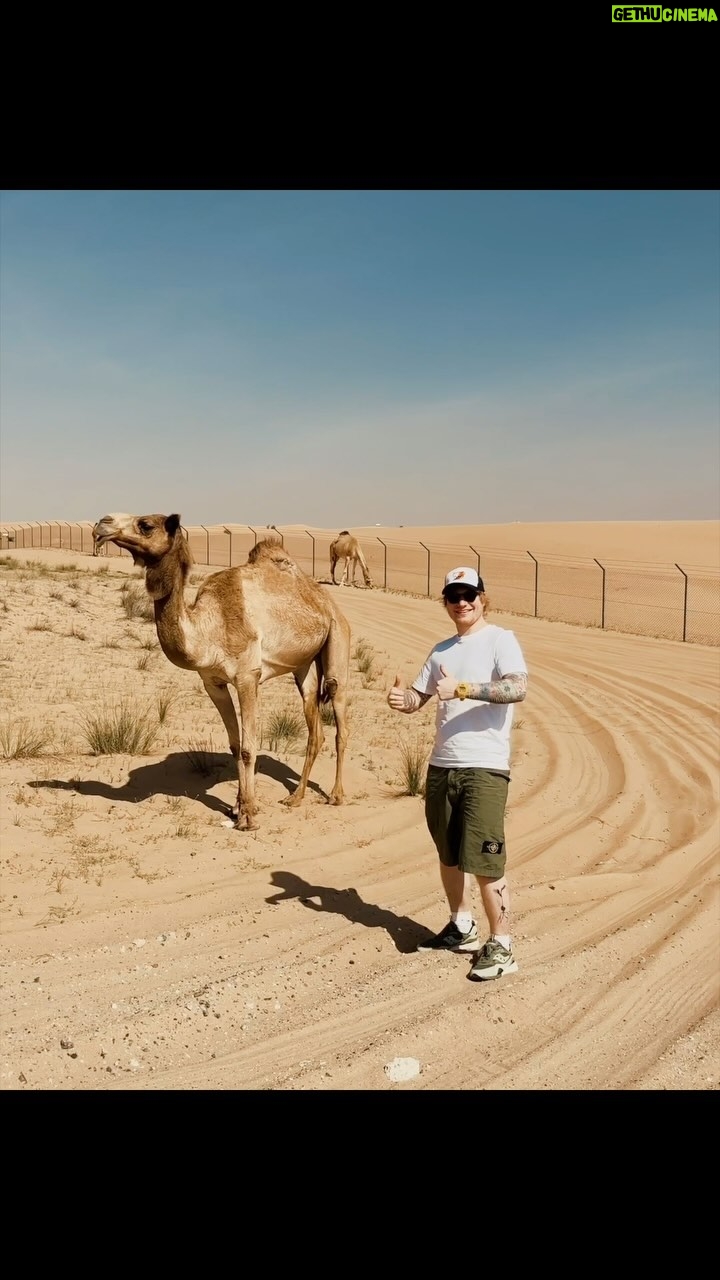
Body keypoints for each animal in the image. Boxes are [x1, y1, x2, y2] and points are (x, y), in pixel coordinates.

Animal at [92, 512, 351, 830]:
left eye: (146, 525)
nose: (102, 523)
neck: (209, 629)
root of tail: (325, 599)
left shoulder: (248, 677)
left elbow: (248, 748)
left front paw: (249, 816)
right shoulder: (213, 683)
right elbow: (234, 745)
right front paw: (237, 807)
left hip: (338, 639)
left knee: (340, 717)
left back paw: (336, 796)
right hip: (304, 665)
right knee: (315, 728)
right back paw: (296, 797)